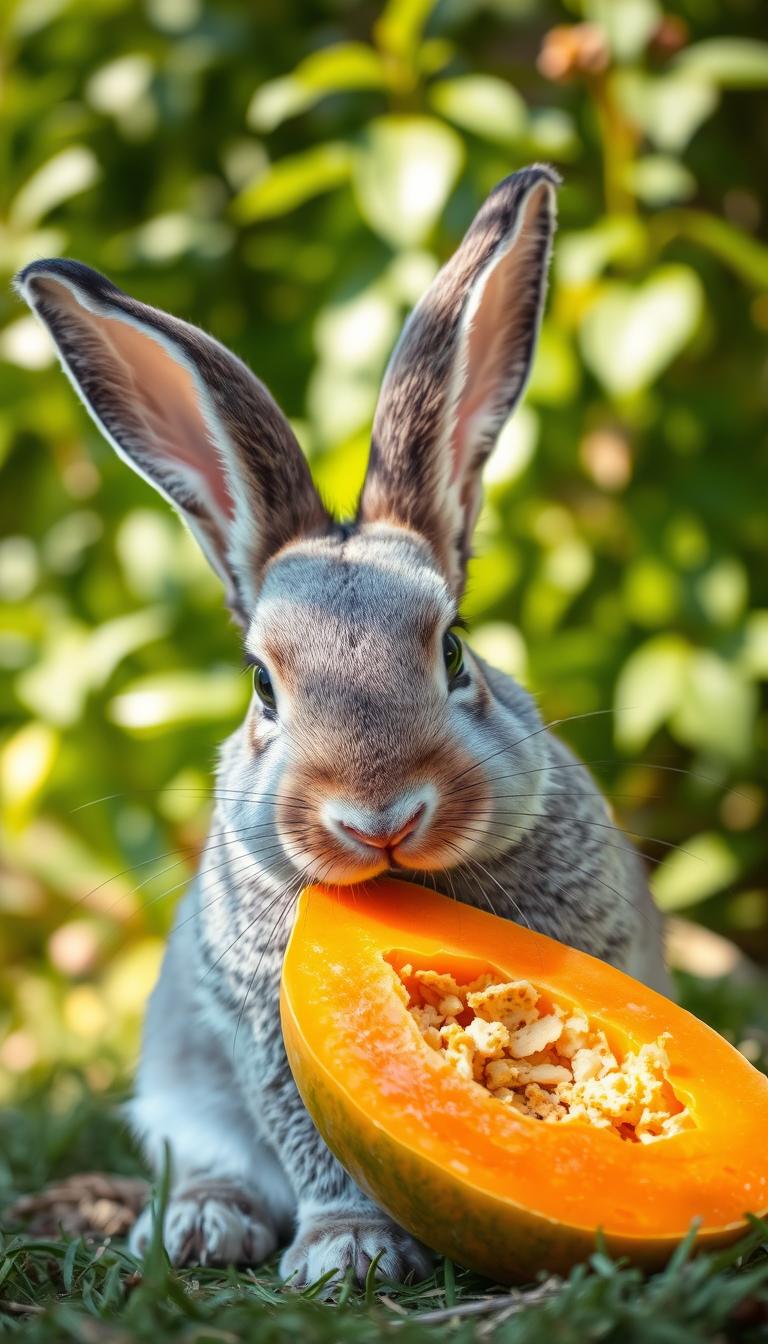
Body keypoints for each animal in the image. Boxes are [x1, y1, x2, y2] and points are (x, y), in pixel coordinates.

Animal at [16, 164, 670, 1286]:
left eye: (454, 650)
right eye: (262, 687)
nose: (380, 816)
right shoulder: (258, 1037)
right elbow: (315, 1144)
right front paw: (350, 1252)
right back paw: (201, 1225)